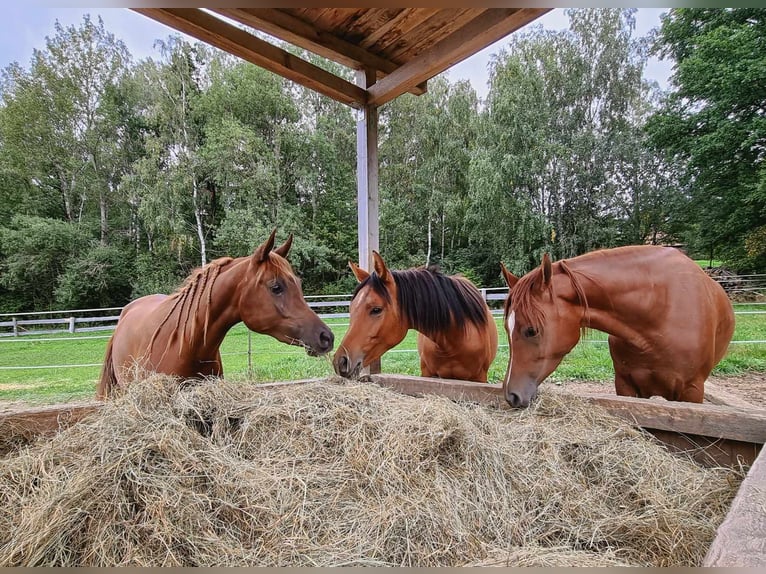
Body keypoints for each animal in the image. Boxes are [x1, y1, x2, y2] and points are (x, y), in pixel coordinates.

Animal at [332, 253, 500, 384]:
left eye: (376, 309)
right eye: (351, 308)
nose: (341, 361)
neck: (455, 341)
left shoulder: (479, 378)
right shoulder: (427, 374)